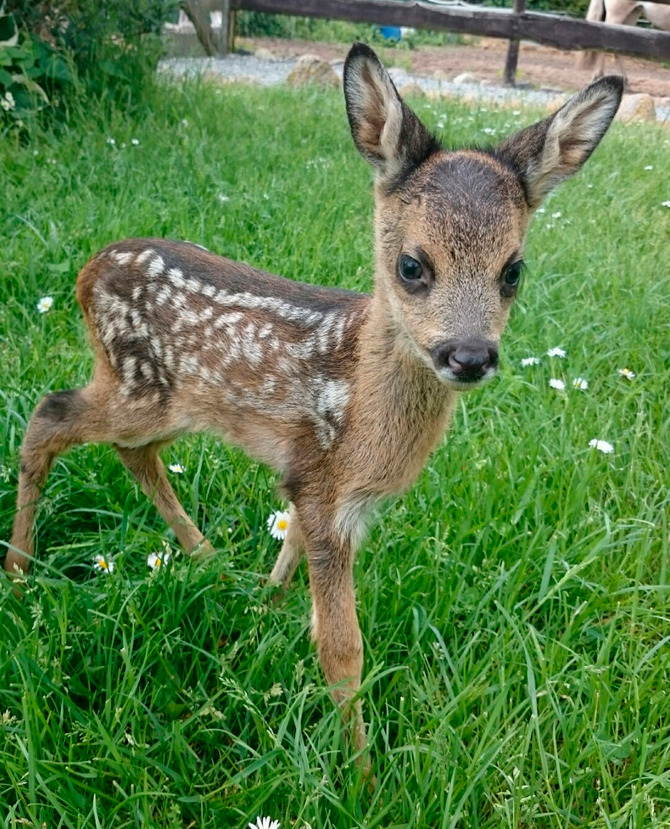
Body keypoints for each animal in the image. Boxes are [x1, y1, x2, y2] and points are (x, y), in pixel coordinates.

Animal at [6, 43, 624, 756]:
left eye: (513, 270)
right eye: (412, 266)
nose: (469, 356)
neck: (362, 408)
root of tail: (85, 272)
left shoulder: (308, 479)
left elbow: (291, 553)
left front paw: (261, 611)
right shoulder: (328, 490)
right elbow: (341, 647)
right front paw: (359, 766)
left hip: (169, 402)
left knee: (132, 452)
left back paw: (205, 558)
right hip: (137, 386)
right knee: (50, 414)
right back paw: (19, 571)